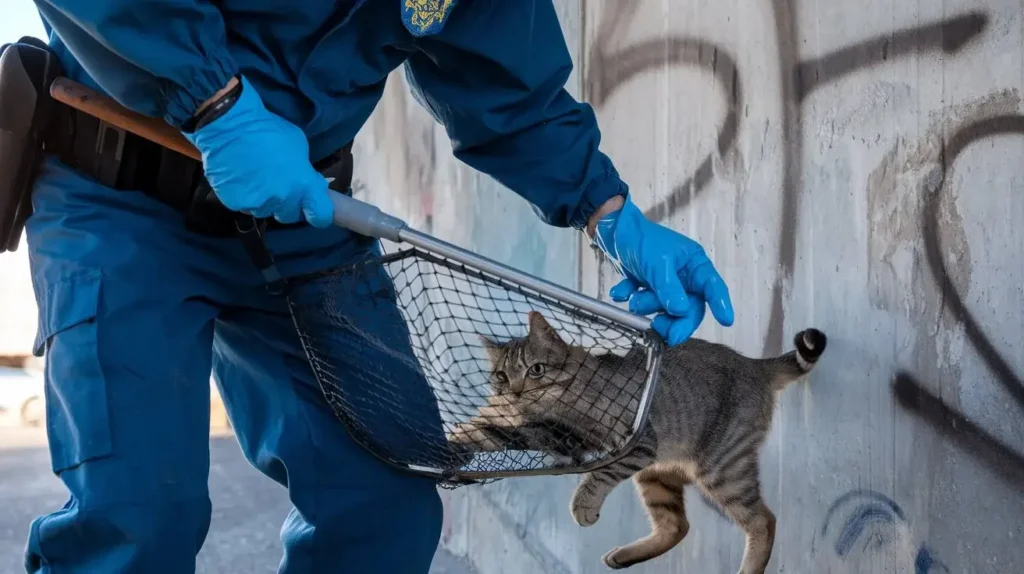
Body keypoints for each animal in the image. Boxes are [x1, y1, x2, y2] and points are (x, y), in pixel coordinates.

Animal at [448, 313, 823, 572]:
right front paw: (451, 446)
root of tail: (753, 364)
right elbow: (480, 432)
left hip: (722, 470)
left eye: (536, 369)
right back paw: (624, 556)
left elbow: (598, 475)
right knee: (677, 525)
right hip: (656, 475)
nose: (515, 391)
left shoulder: (628, 441)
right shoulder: (545, 433)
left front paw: (583, 503)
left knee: (763, 521)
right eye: (501, 375)